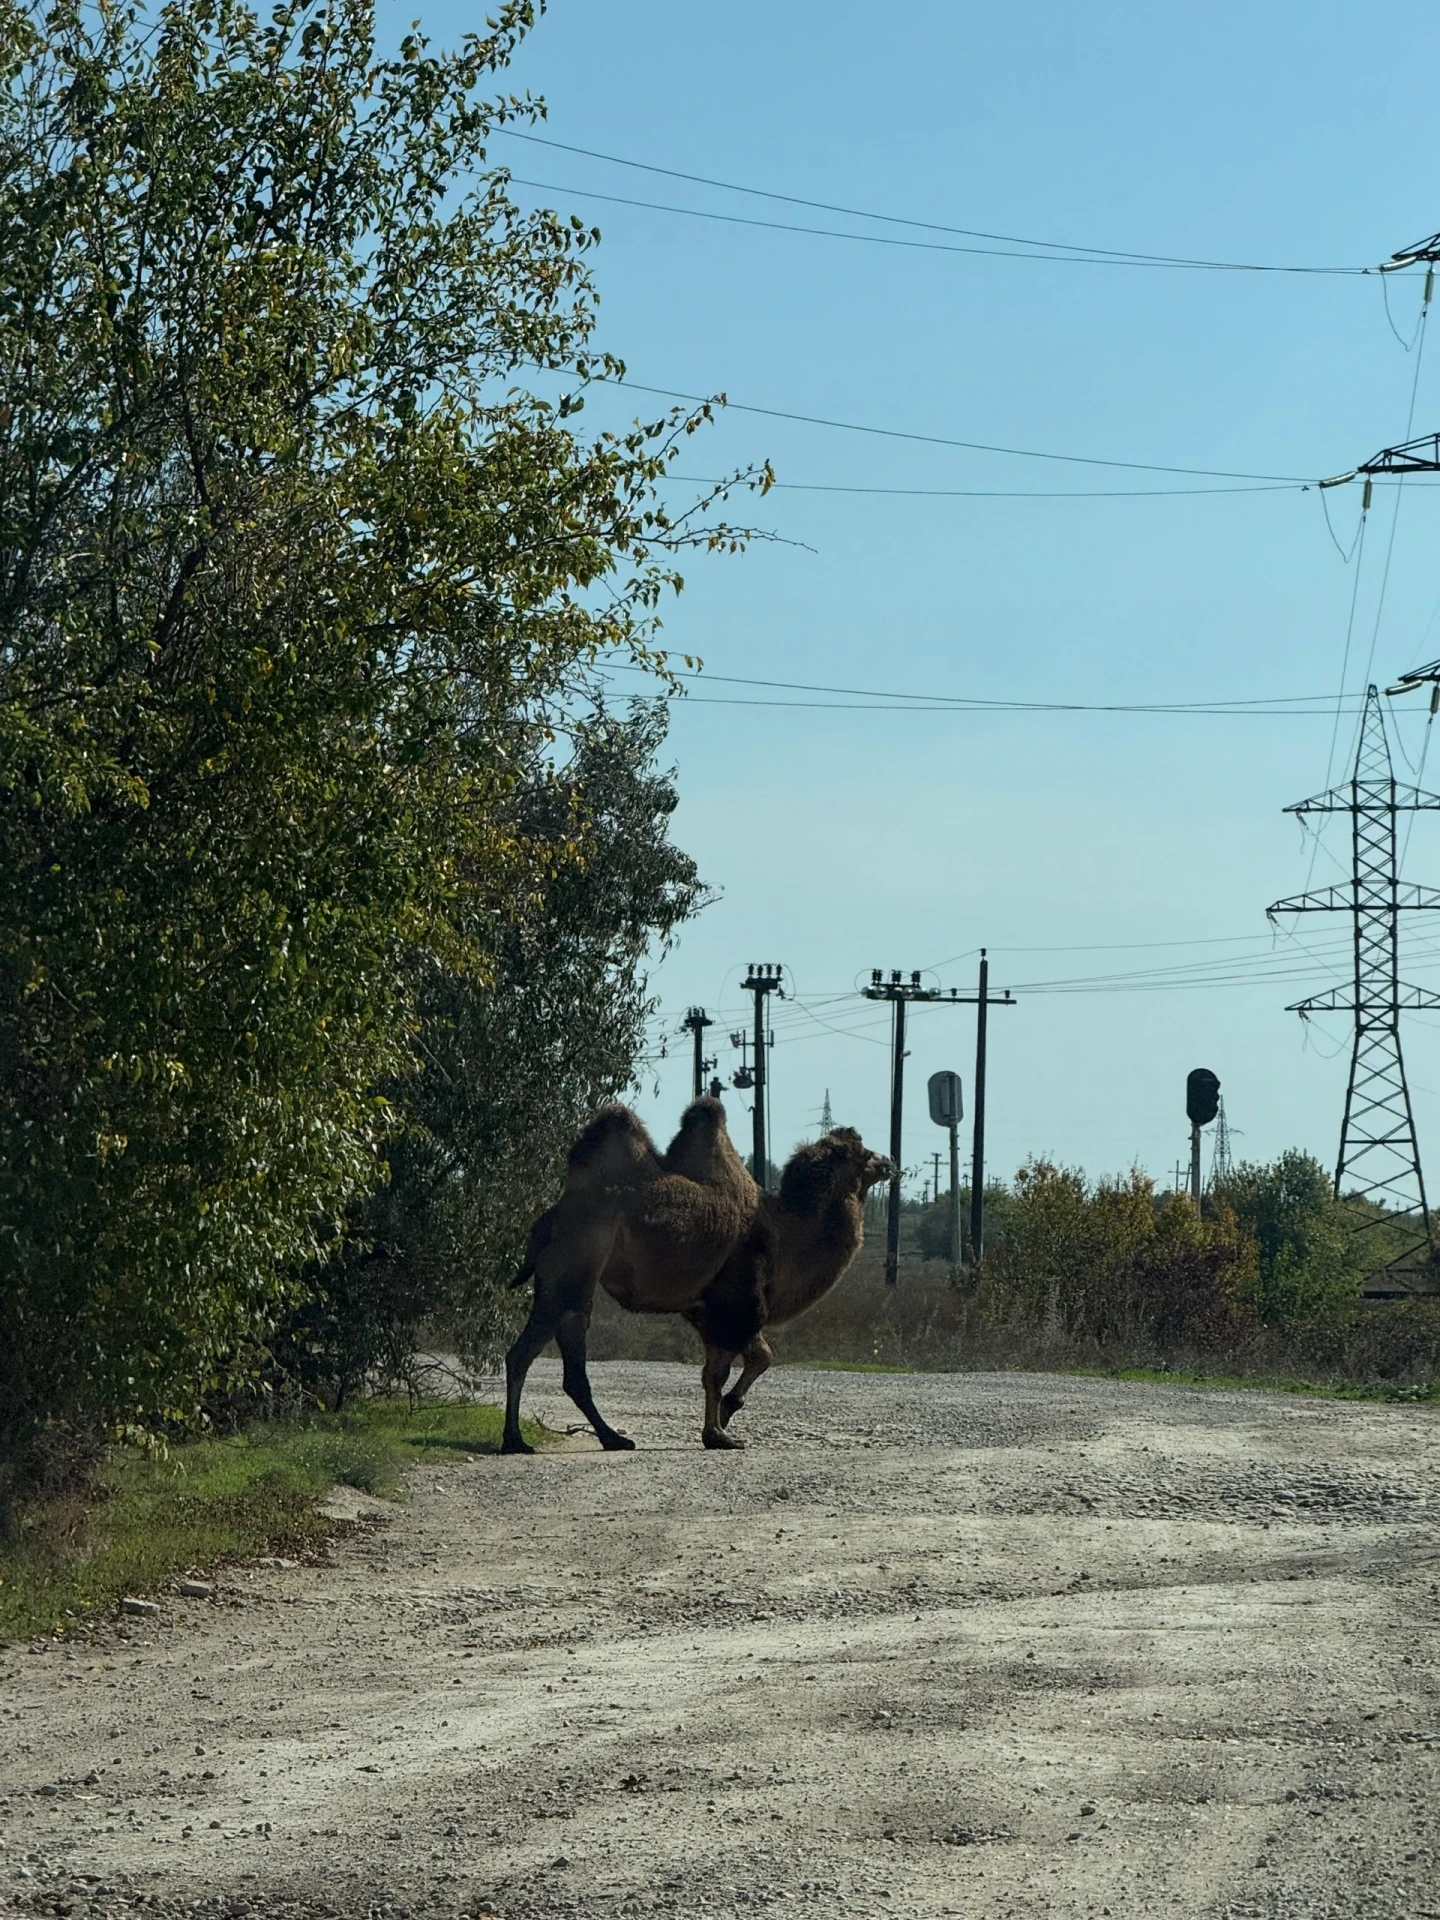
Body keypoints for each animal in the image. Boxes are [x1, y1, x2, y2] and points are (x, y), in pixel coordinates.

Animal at [500, 1096, 760, 1455]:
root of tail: (549, 1220)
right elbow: (733, 1361)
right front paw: (720, 1432)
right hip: (571, 1269)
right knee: (524, 1353)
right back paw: (515, 1439)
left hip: (569, 1281)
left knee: (570, 1360)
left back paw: (612, 1437)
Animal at [682, 1126, 895, 1447]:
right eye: (865, 1153)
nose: (890, 1161)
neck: (787, 1236)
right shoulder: (735, 1306)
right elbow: (750, 1361)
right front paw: (722, 1423)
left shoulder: (710, 1316)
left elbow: (726, 1368)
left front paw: (719, 1427)